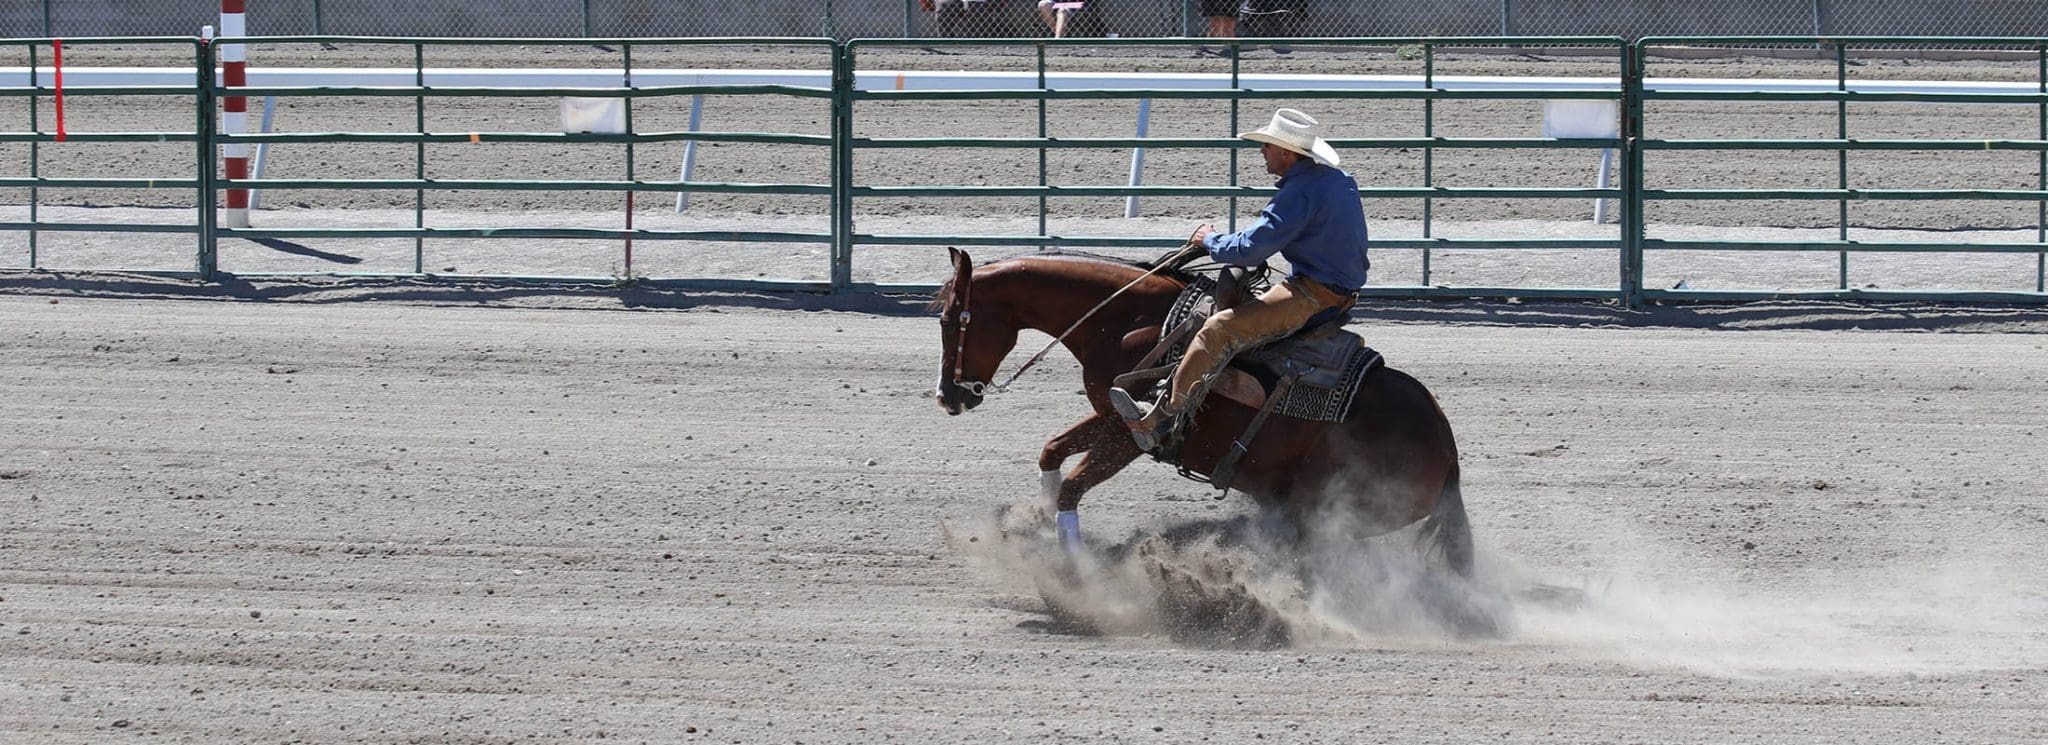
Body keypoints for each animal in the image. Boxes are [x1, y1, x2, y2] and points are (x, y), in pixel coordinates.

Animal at [929, 250, 1474, 577]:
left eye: (950, 320)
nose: (948, 397)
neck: (1126, 322)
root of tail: (1447, 451)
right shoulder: (1110, 413)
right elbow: (1053, 452)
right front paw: (1038, 524)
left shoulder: (1132, 432)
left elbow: (1073, 486)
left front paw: (1075, 571)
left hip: (1327, 512)